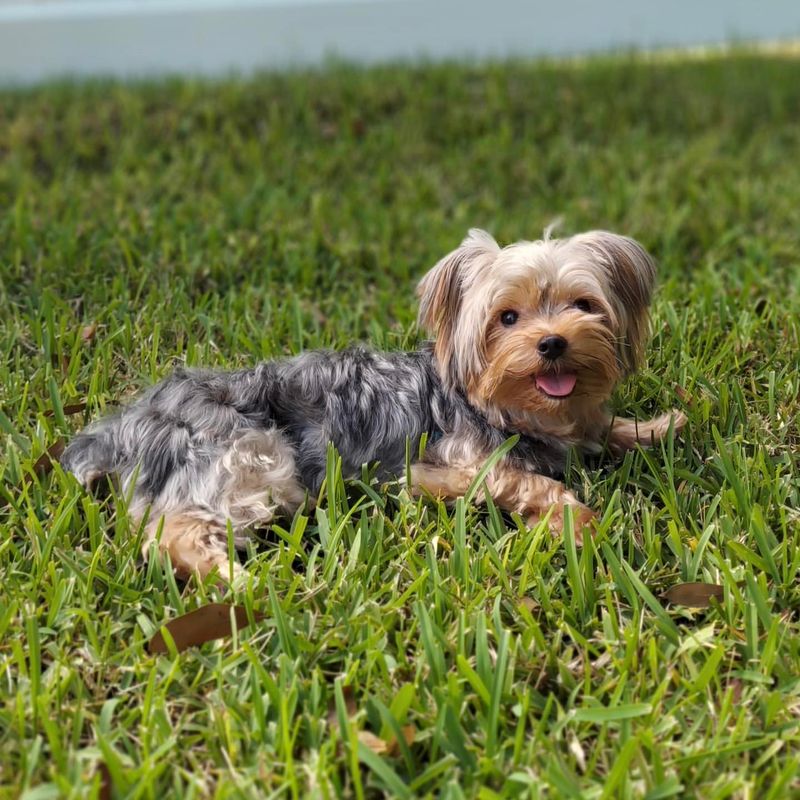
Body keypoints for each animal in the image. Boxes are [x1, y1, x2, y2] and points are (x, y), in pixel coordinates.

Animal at [62, 228, 688, 584]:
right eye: (507, 317)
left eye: (583, 305)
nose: (552, 343)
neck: (507, 406)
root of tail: (123, 427)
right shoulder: (450, 463)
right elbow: (533, 482)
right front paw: (581, 523)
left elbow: (602, 428)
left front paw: (655, 427)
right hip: (253, 459)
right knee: (171, 534)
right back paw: (232, 578)